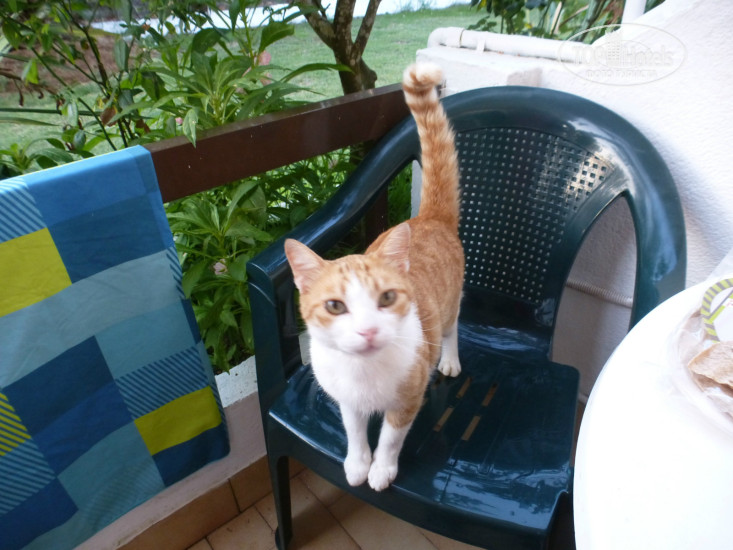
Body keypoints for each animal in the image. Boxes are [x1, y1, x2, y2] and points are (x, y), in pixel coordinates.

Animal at [284, 62, 464, 491]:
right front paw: (357, 462)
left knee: (453, 327)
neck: (363, 375)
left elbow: (391, 437)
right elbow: (354, 430)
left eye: (386, 298)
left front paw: (381, 468)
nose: (367, 331)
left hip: (450, 305)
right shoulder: (346, 401)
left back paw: (450, 358)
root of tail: (428, 218)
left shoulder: (408, 398)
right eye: (335, 306)